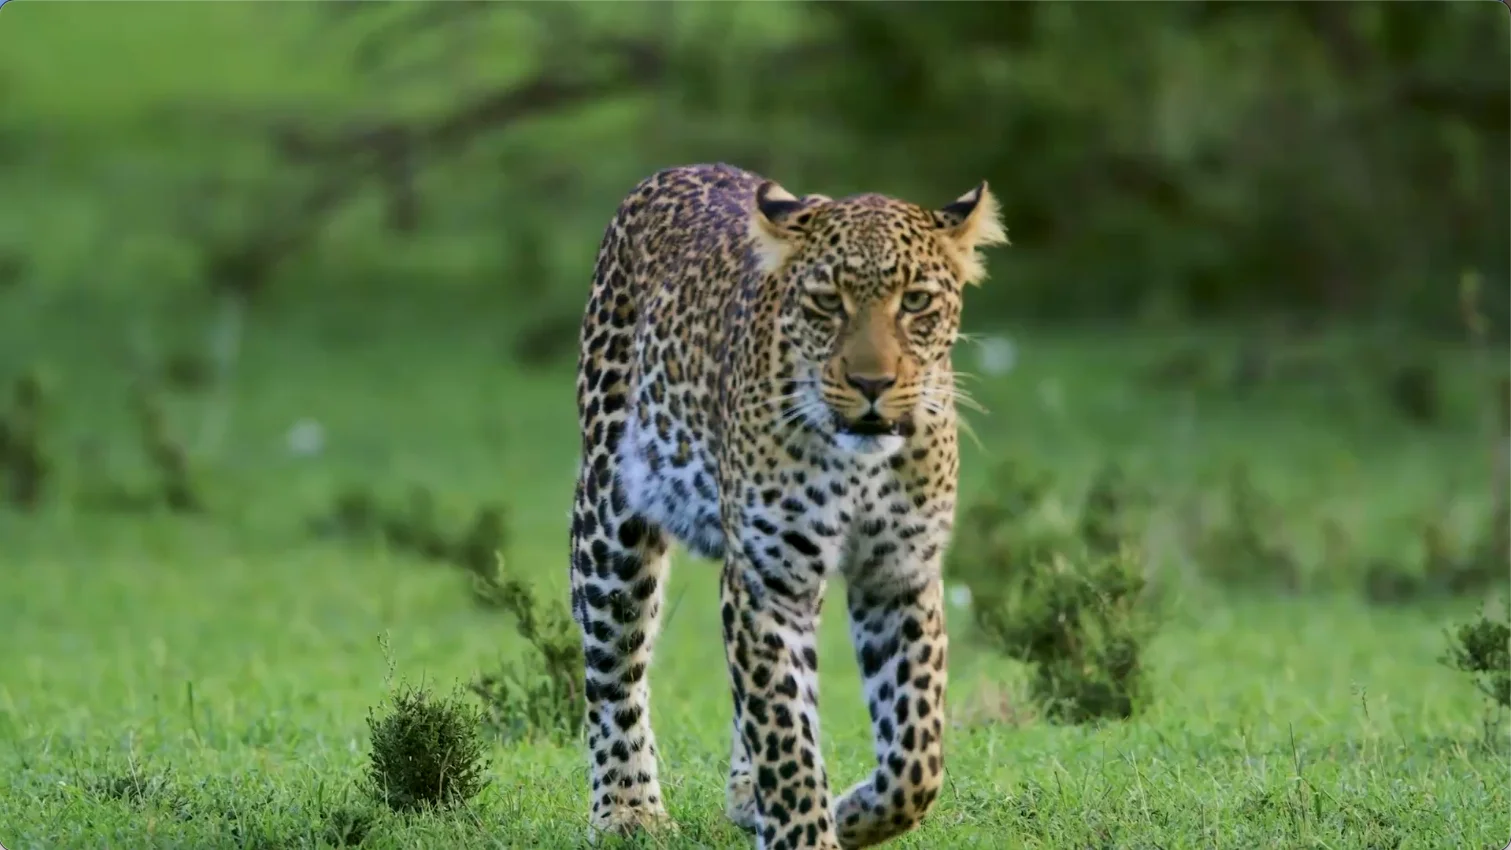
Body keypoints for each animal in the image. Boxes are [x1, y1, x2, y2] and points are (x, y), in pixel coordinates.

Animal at [568, 162, 1007, 850]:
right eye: (828, 302)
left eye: (915, 302)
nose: (872, 384)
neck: (859, 464)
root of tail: (688, 167)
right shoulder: (768, 580)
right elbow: (785, 733)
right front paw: (807, 828)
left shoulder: (899, 574)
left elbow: (916, 758)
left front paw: (850, 813)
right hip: (611, 512)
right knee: (615, 665)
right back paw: (627, 809)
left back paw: (750, 797)